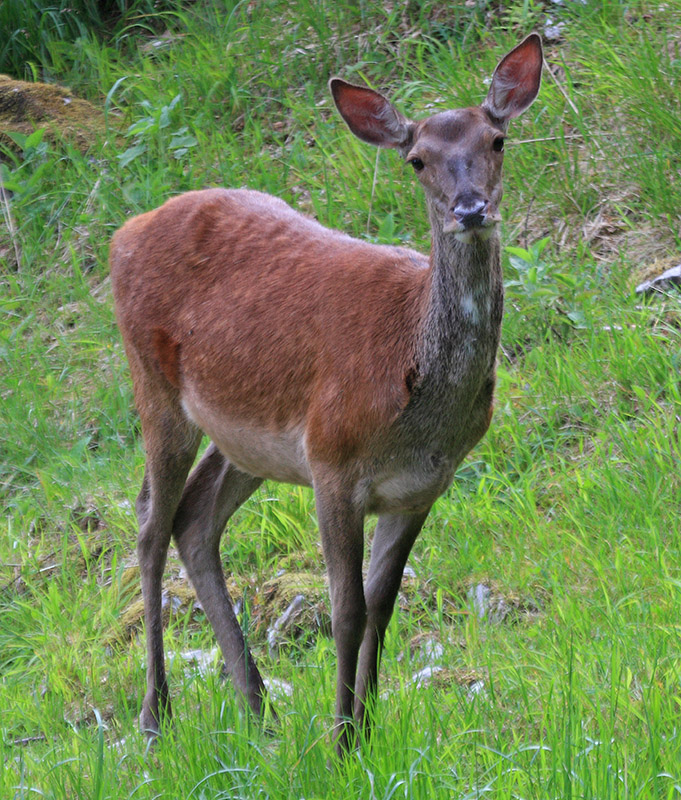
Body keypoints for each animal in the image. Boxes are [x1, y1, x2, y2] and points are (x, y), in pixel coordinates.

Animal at [110, 32, 540, 756]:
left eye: (497, 139)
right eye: (417, 159)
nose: (470, 208)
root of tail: (123, 233)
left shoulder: (419, 486)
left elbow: (383, 607)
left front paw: (365, 727)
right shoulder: (334, 461)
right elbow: (346, 609)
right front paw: (340, 741)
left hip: (249, 440)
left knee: (193, 518)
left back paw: (257, 708)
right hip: (153, 383)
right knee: (148, 522)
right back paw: (154, 714)